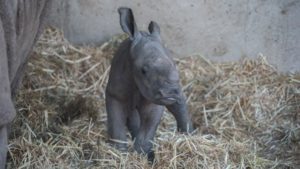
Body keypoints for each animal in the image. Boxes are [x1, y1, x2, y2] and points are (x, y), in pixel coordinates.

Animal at [106, 6, 193, 160]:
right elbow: (117, 126)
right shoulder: (115, 95)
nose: (171, 92)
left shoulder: (155, 100)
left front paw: (143, 156)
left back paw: (189, 135)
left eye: (175, 66)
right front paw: (120, 154)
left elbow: (147, 131)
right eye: (143, 70)